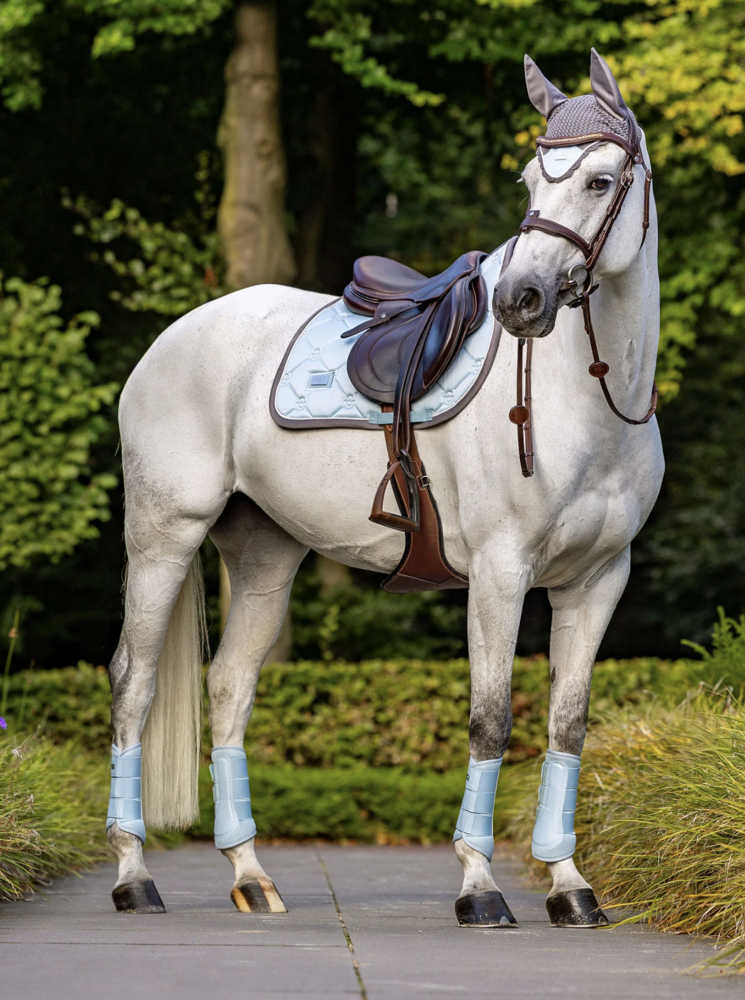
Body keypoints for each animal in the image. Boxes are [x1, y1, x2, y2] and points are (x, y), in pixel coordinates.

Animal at [105, 49, 663, 927]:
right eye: (528, 181)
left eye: (600, 180)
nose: (521, 300)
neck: (592, 398)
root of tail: (174, 337)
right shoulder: (500, 575)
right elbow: (490, 720)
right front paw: (479, 889)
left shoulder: (597, 582)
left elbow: (567, 726)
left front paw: (569, 886)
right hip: (165, 536)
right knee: (135, 683)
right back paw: (134, 878)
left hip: (264, 557)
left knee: (229, 687)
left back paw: (250, 875)